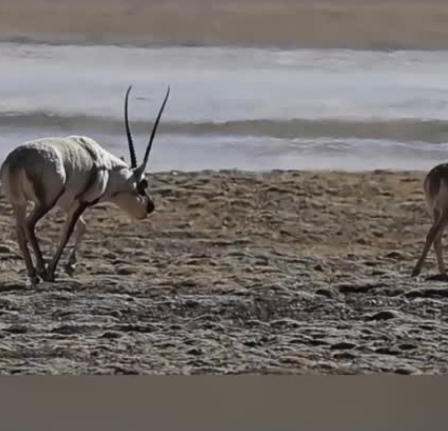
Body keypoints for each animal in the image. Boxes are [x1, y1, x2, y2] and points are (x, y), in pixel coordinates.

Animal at [0, 85, 171, 286]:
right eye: (143, 183)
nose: (150, 207)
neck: (105, 167)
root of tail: (17, 160)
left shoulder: (67, 203)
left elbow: (82, 226)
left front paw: (70, 266)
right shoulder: (83, 201)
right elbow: (68, 231)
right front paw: (52, 271)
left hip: (19, 202)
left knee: (19, 231)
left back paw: (33, 274)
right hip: (45, 202)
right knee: (29, 224)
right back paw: (42, 271)